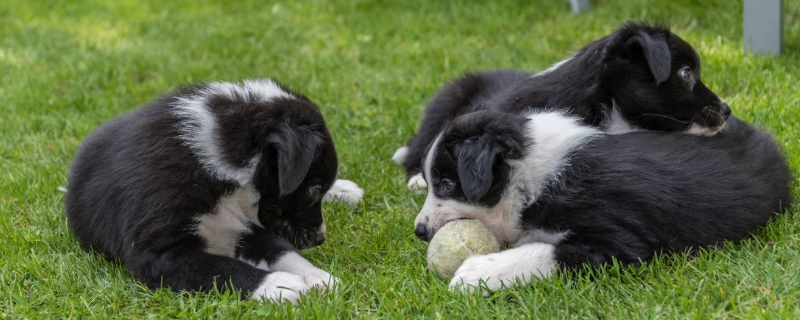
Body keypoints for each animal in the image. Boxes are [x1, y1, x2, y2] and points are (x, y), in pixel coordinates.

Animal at [64, 77, 364, 302]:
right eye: (314, 190)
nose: (320, 239)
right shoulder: (158, 254)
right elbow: (223, 268)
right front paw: (282, 285)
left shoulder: (247, 225)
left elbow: (282, 251)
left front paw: (318, 277)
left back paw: (346, 191)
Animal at [416, 109, 792, 292]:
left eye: (447, 185)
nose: (419, 231)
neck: (531, 175)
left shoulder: (620, 238)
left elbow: (550, 250)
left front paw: (478, 273)